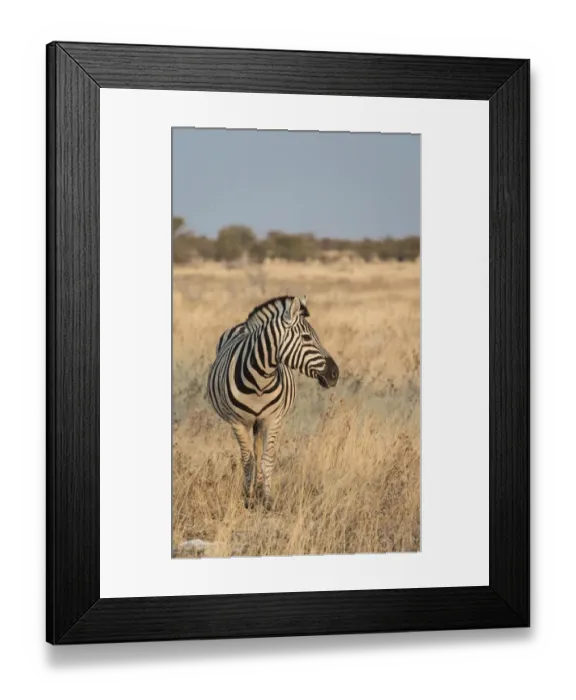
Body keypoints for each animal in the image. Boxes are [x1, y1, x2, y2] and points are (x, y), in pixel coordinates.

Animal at [207, 295, 339, 510]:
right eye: (306, 338)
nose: (335, 373)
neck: (259, 381)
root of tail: (243, 325)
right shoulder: (238, 422)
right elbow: (247, 460)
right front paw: (248, 498)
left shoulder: (273, 419)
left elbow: (267, 458)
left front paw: (267, 498)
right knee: (252, 454)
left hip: (260, 422)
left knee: (259, 451)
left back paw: (259, 487)